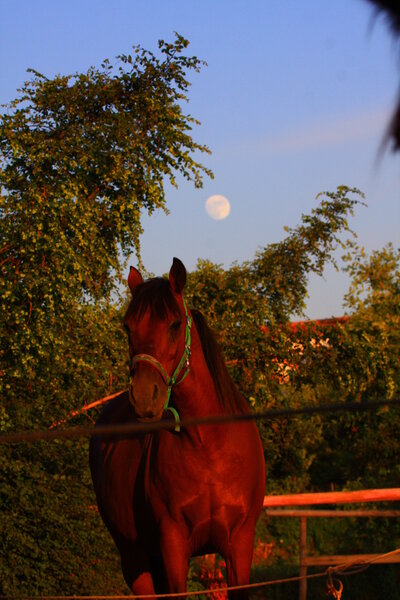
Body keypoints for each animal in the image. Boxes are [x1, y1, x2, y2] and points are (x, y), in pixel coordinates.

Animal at [90, 258, 266, 600]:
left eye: (173, 324)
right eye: (128, 327)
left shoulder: (240, 543)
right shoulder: (172, 545)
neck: (209, 447)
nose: (145, 396)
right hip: (135, 559)